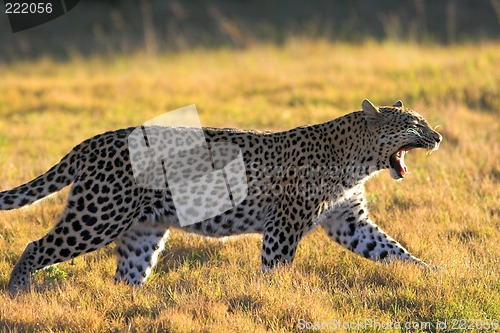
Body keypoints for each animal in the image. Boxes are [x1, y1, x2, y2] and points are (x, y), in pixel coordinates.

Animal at [2, 99, 442, 294]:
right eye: (413, 124)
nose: (438, 137)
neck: (357, 160)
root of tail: (89, 143)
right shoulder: (284, 224)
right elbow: (276, 267)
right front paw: (276, 300)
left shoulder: (349, 220)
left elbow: (393, 250)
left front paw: (433, 274)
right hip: (97, 217)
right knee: (35, 246)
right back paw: (17, 291)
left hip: (142, 230)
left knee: (127, 273)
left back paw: (127, 304)